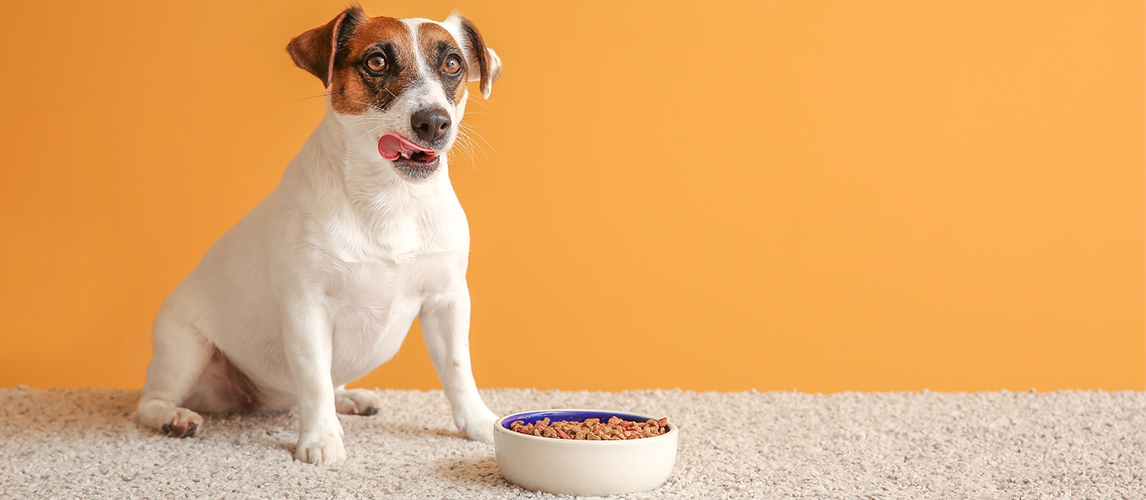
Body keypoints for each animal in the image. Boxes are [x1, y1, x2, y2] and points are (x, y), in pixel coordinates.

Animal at [136, 6, 504, 465]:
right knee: (150, 402)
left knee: (332, 382)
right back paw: (174, 417)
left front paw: (479, 424)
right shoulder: (306, 307)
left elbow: (457, 371)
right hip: (187, 350)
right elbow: (313, 380)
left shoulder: (447, 302)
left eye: (452, 64)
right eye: (376, 61)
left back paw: (350, 398)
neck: (391, 198)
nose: (434, 121)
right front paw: (321, 440)